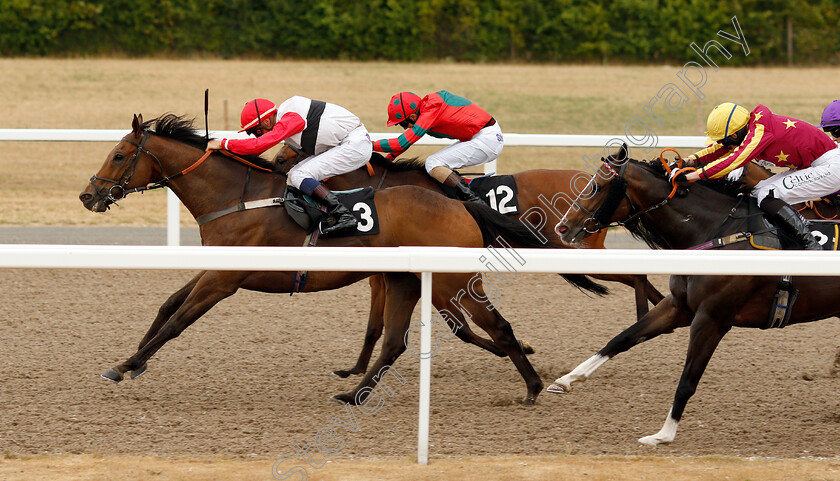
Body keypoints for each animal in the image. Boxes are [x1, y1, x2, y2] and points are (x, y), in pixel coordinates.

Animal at [75, 113, 592, 404]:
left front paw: (128, 363)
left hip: (449, 281)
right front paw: (133, 361)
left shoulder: (224, 279)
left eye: (119, 155)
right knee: (401, 341)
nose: (88, 196)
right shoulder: (216, 268)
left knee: (494, 326)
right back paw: (354, 394)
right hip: (409, 280)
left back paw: (532, 386)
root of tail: (461, 203)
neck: (236, 195)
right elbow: (167, 306)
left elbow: (178, 321)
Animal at [272, 148, 668, 376]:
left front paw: (517, 348)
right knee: (643, 278)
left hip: (574, 250)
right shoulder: (385, 273)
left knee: (637, 274)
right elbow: (376, 325)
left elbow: (458, 326)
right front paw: (354, 370)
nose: (279, 170)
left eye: (288, 151)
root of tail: (592, 184)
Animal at [548, 144, 836, 444]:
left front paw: (663, 434)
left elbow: (687, 381)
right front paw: (566, 379)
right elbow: (622, 338)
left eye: (597, 186)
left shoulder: (711, 319)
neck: (720, 232)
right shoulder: (679, 306)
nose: (562, 227)